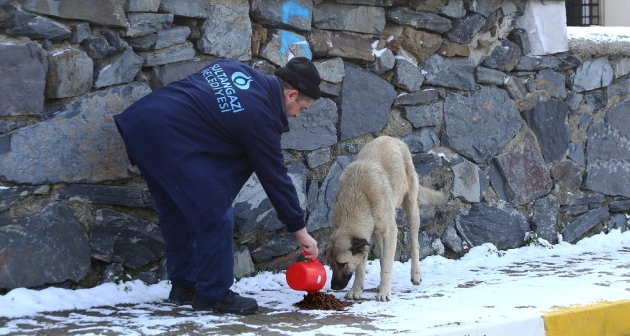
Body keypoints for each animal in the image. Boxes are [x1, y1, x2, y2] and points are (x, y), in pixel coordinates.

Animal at [328, 136, 446, 302]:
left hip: (411, 210)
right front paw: (357, 289)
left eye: (342, 264)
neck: (358, 198)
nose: (333, 287)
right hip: (378, 232)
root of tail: (392, 138)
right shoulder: (366, 236)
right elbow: (362, 267)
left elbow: (387, 267)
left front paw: (384, 292)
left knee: (414, 244)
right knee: (383, 256)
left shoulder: (390, 232)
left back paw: (415, 274)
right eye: (330, 265)